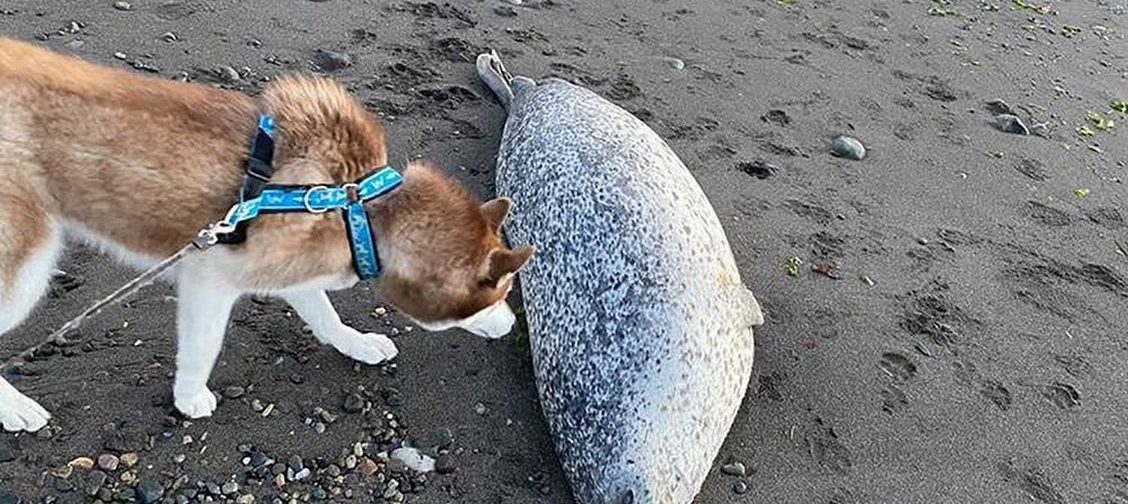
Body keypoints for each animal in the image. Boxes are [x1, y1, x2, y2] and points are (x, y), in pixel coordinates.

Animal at [0, 37, 534, 432]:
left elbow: (325, 316)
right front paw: (189, 396)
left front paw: (356, 342)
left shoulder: (294, 269)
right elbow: (203, 348)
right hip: (25, 269)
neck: (358, 207)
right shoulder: (210, 277)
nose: (512, 326)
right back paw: (16, 409)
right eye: (496, 295)